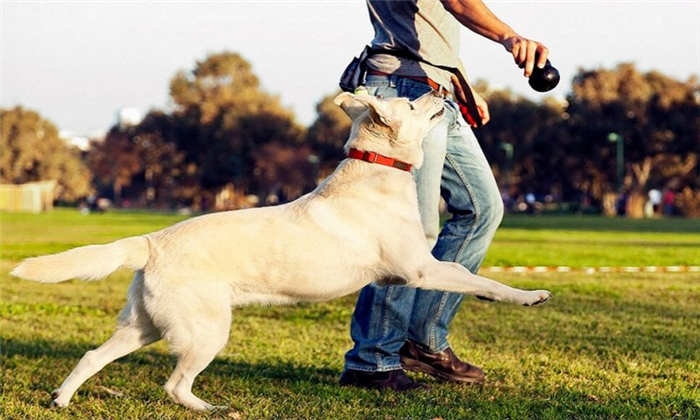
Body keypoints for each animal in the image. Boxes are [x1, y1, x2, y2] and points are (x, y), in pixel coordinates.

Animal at [8, 92, 548, 410]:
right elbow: (478, 278)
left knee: (91, 356)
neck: (376, 169)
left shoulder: (412, 272)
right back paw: (211, 409)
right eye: (411, 103)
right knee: (174, 386)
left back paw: (61, 399)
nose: (439, 89)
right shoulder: (420, 269)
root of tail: (151, 241)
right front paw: (528, 296)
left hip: (145, 326)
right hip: (206, 331)